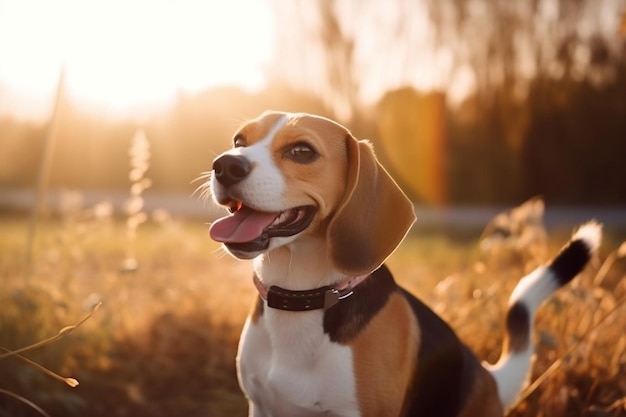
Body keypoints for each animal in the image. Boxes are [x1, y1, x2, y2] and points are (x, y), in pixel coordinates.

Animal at [205, 111, 600, 416]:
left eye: (302, 151)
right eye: (239, 140)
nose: (224, 165)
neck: (301, 298)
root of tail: (488, 379)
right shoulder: (261, 405)